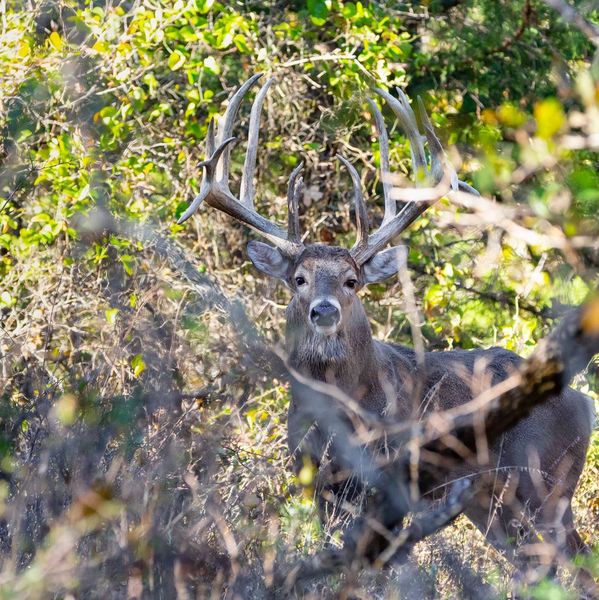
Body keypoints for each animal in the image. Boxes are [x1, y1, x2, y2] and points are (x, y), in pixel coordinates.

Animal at [178, 74, 596, 584]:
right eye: (298, 279)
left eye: (351, 280)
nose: (323, 311)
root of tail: (584, 401)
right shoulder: (315, 482)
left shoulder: (386, 480)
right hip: (492, 505)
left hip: (545, 483)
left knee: (575, 560)